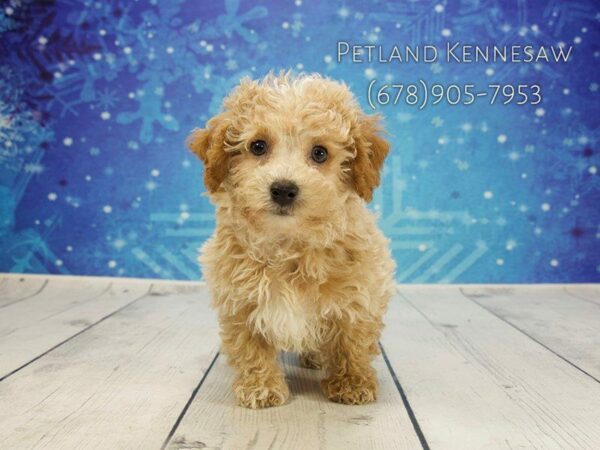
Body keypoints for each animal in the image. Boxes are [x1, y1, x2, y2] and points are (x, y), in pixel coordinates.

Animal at [188, 73, 394, 408]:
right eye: (257, 146)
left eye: (320, 153)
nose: (283, 189)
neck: (289, 245)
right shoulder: (239, 301)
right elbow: (251, 347)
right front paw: (261, 387)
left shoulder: (359, 294)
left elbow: (351, 342)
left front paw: (352, 383)